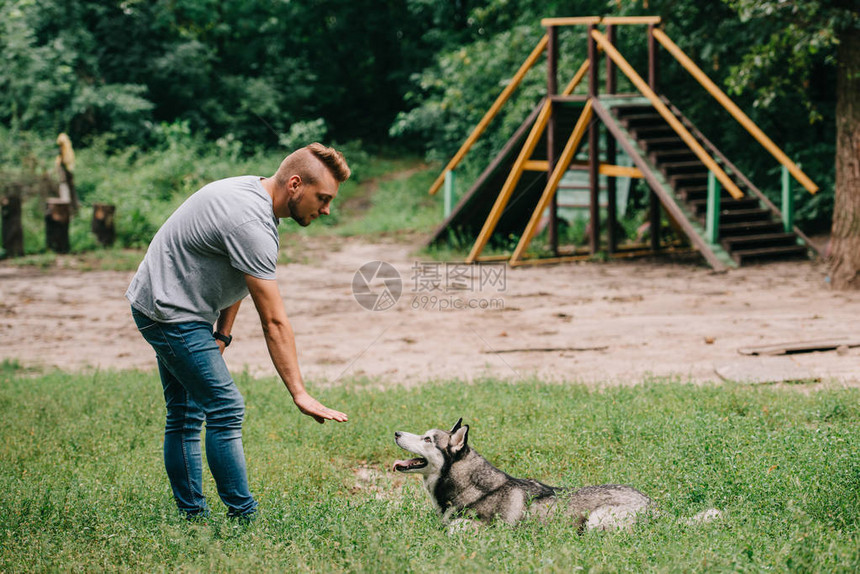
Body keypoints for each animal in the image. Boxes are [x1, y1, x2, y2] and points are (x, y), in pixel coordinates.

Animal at [394, 420, 716, 532]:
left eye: (427, 439)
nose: (396, 433)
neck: (477, 487)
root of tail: (655, 507)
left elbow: (453, 529)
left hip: (597, 521)